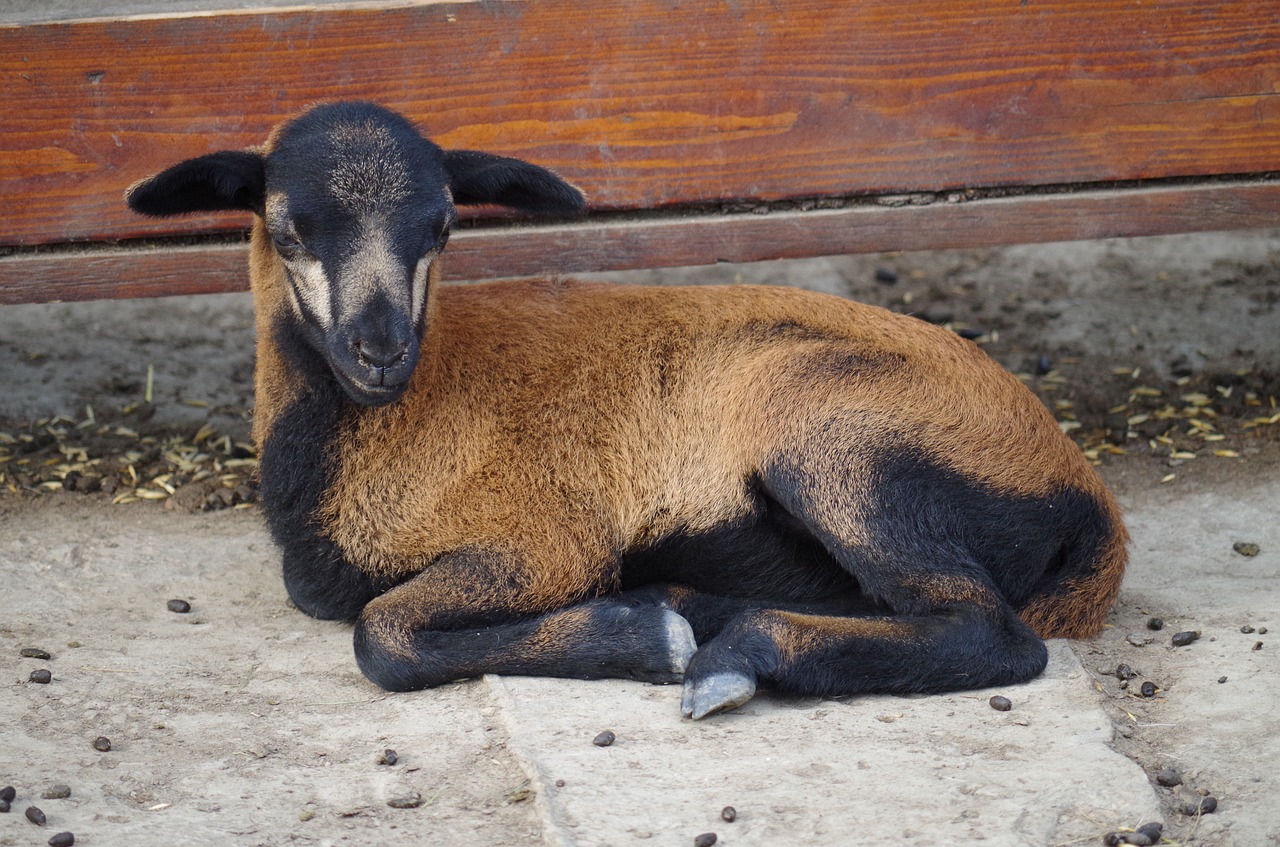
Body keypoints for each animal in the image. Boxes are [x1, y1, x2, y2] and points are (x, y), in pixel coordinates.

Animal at [129, 102, 1126, 721]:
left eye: (443, 226)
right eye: (289, 228)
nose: (380, 350)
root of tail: (1094, 512)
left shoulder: (545, 540)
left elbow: (383, 634)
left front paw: (638, 635)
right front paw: (650, 619)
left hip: (836, 436)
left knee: (991, 633)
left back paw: (730, 653)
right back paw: (696, 608)